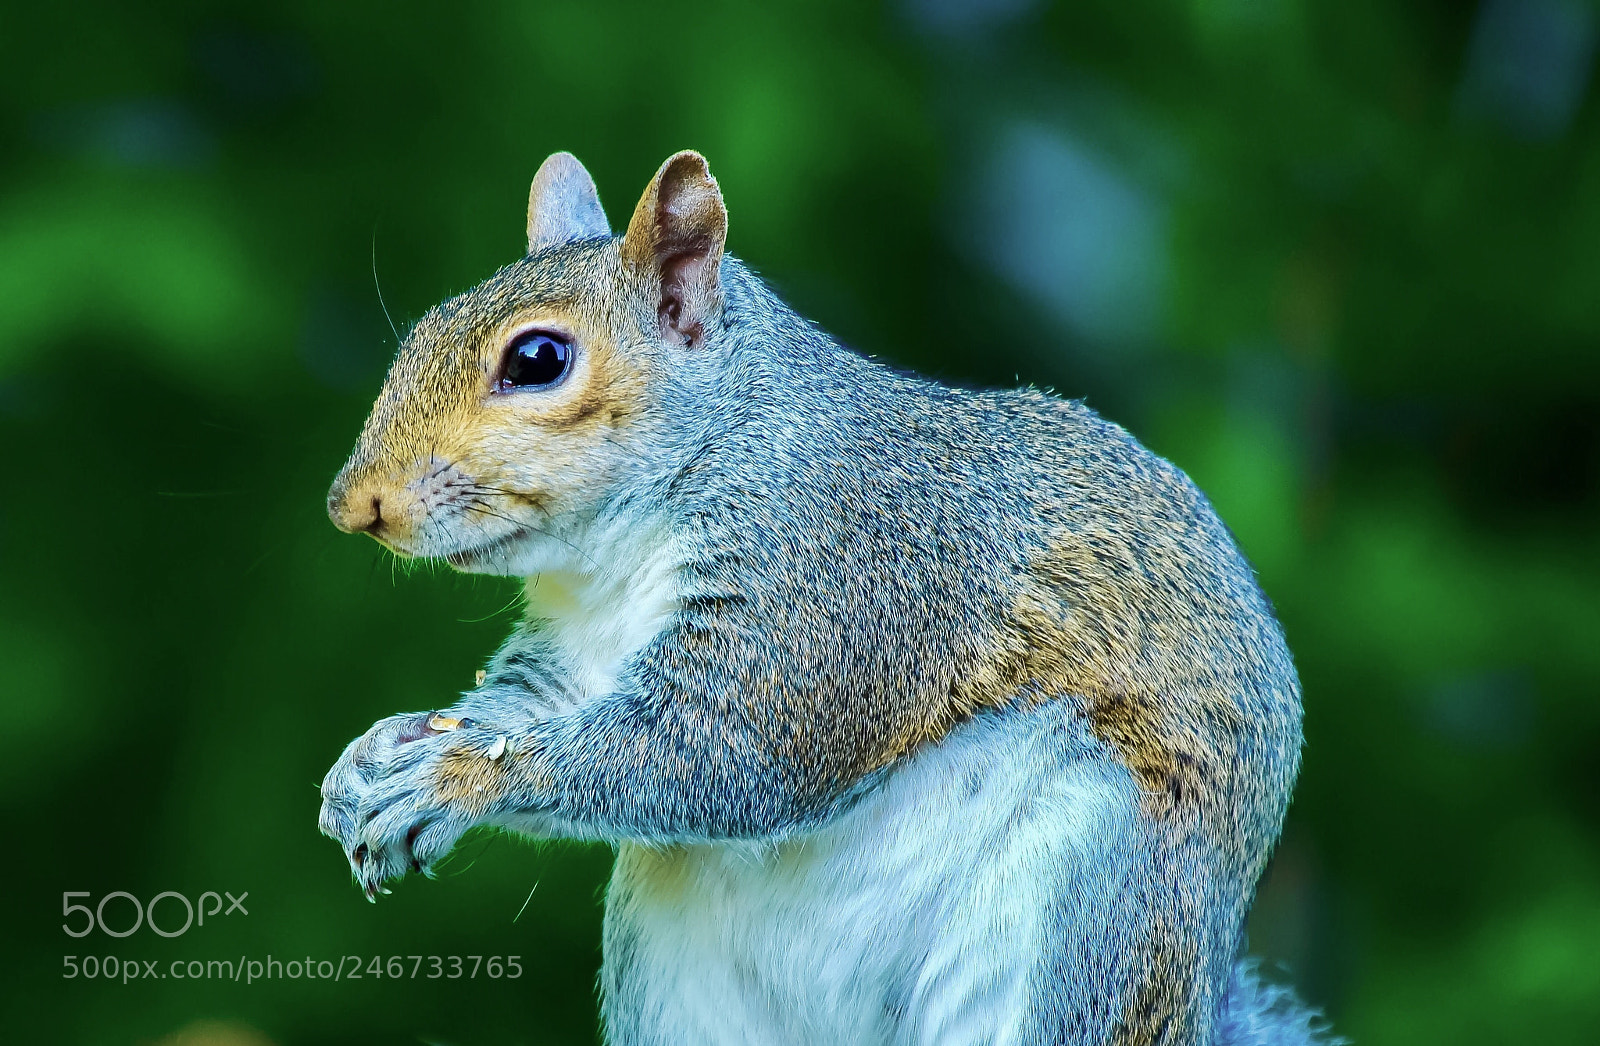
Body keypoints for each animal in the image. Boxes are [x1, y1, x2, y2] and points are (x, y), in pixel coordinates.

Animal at [319, 150, 1336, 1046]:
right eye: (422, 328)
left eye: (537, 359)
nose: (352, 504)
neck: (618, 555)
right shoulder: (574, 653)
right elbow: (523, 707)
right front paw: (374, 757)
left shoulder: (836, 581)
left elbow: (724, 748)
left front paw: (456, 778)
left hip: (1090, 912)